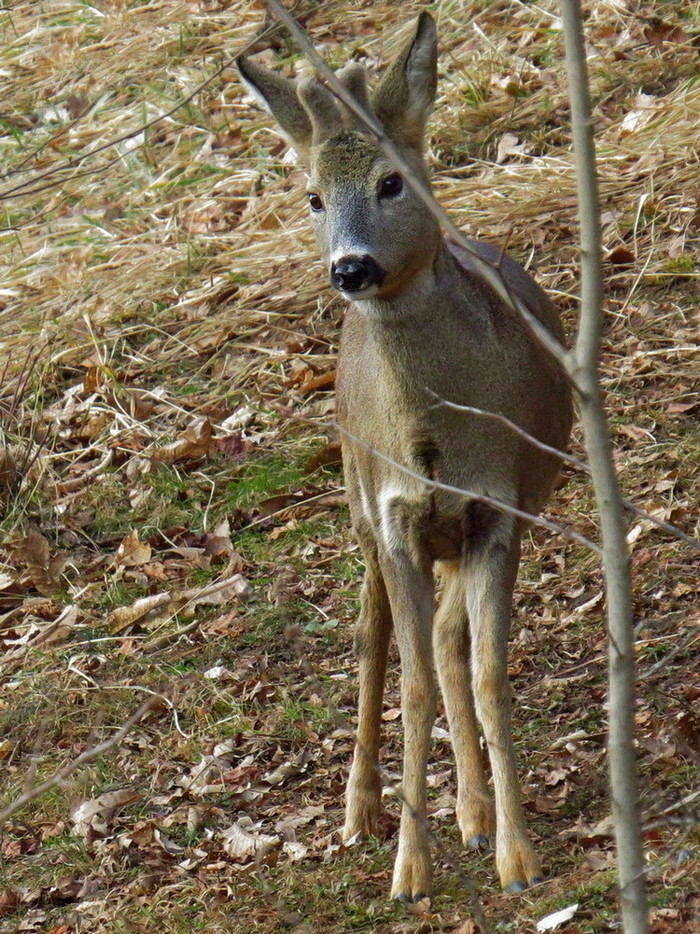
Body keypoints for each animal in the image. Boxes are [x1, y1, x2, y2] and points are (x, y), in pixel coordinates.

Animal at [238, 11, 572, 904]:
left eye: (392, 182)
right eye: (313, 195)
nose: (351, 266)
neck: (435, 440)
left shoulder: (497, 511)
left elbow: (486, 674)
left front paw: (517, 859)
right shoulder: (394, 518)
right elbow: (412, 680)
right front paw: (410, 872)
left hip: (453, 532)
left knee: (450, 642)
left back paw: (474, 811)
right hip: (358, 507)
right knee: (371, 636)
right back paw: (361, 813)